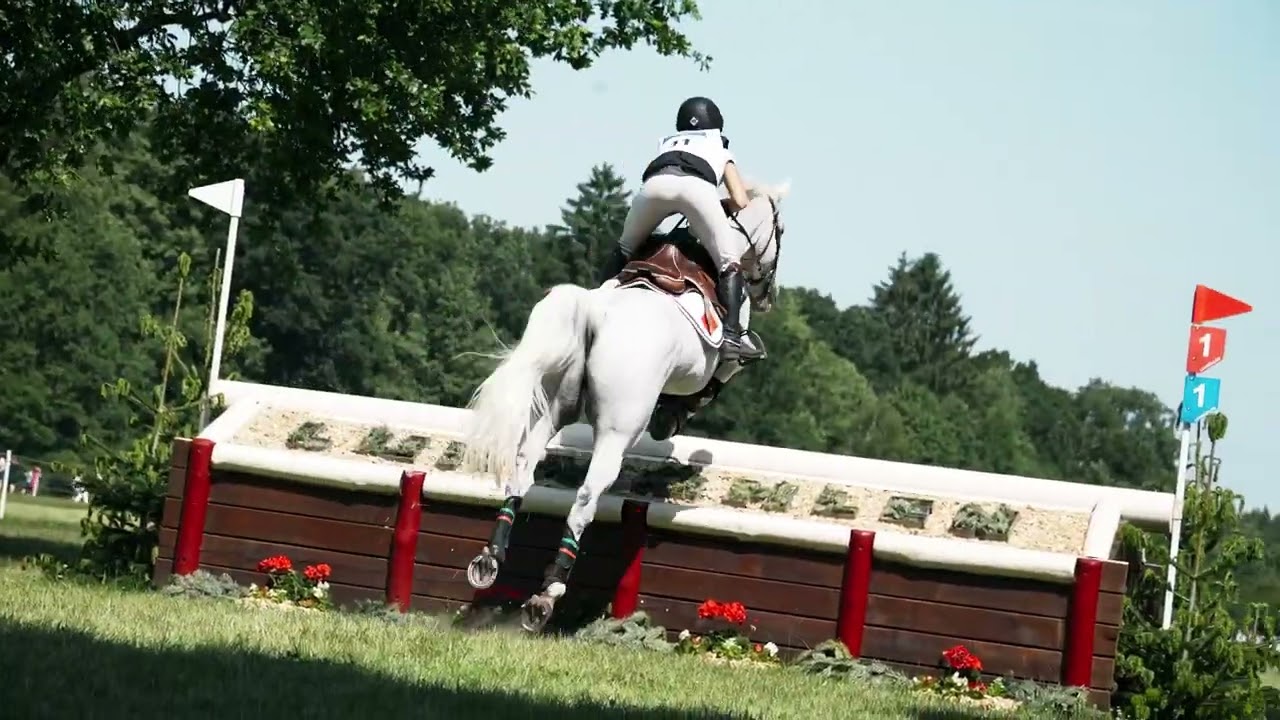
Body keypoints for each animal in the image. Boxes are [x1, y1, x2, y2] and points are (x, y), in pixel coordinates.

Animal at [460, 181, 788, 632]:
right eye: (781, 232)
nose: (770, 293)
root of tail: (593, 310)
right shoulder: (720, 361)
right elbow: (718, 376)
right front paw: (672, 417)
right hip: (618, 431)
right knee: (585, 498)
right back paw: (546, 595)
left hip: (555, 408)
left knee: (522, 472)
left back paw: (489, 559)